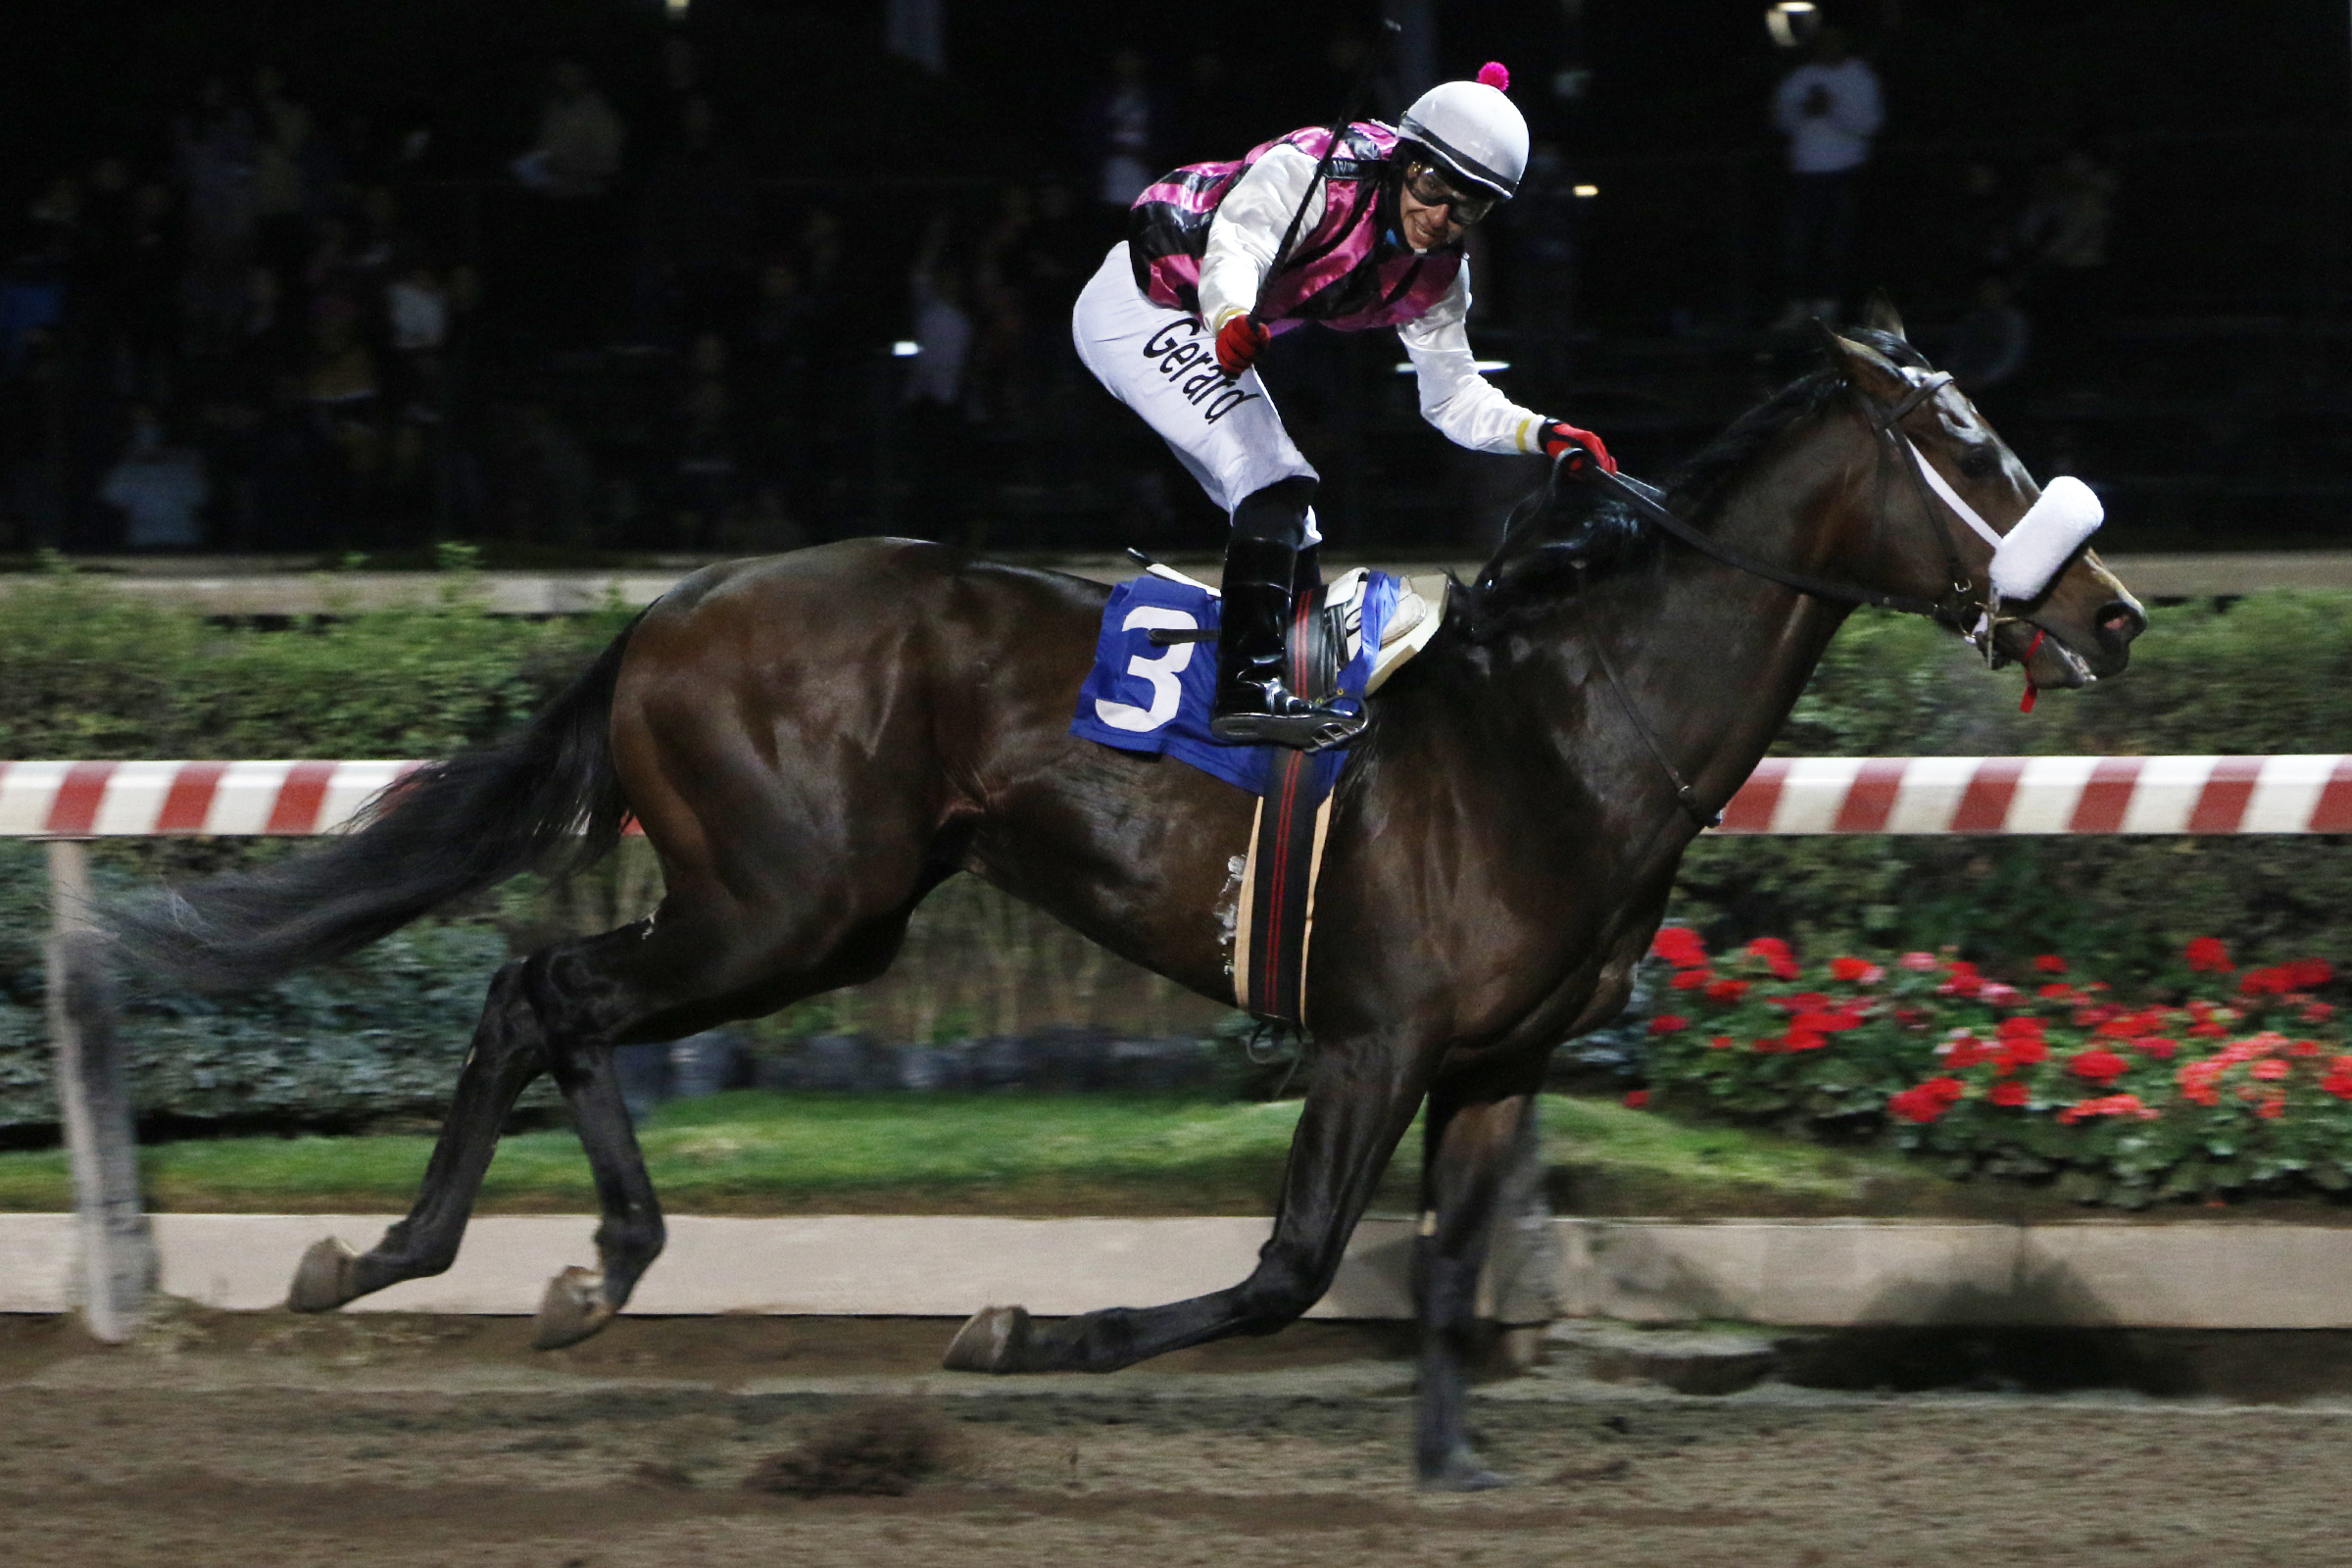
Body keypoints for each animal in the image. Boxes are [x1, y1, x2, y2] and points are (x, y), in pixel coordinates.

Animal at [111, 302, 2144, 1489]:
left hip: (806, 911)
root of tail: (675, 607)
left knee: (559, 994)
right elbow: (1288, 1271)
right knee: (543, 990)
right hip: (792, 904)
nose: (2115, 612)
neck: (1571, 728)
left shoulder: (1496, 1066)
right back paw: (442, 1258)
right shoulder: (1373, 1036)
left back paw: (564, 1269)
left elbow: (1453, 1271)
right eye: (1969, 453)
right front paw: (1027, 1333)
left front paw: (1455, 1473)